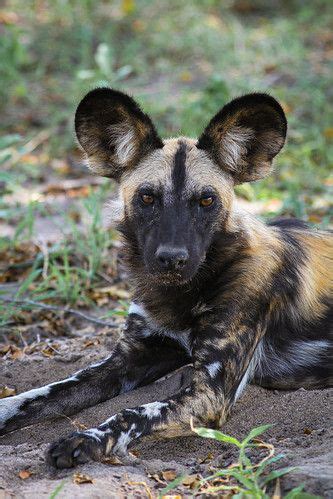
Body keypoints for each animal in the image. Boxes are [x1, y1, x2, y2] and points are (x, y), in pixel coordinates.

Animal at [0, 87, 332, 468]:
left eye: (206, 200)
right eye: (147, 197)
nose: (172, 258)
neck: (182, 294)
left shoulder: (211, 392)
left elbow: (130, 412)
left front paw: (86, 439)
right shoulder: (128, 360)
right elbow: (36, 395)